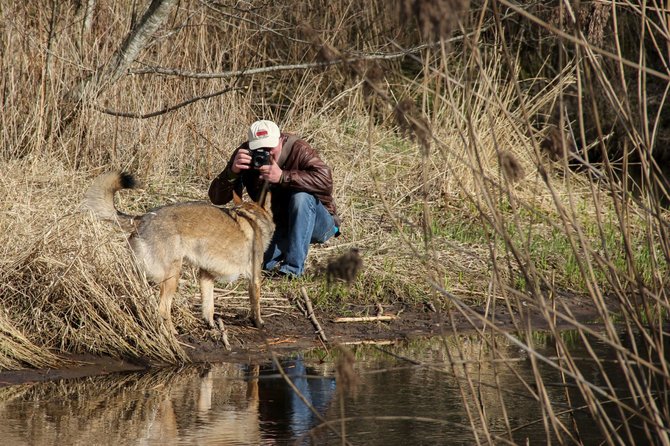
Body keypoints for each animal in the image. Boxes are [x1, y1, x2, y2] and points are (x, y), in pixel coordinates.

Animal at [82, 171, 274, 332]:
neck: (252, 217)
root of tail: (142, 218)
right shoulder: (255, 278)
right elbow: (255, 305)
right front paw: (259, 323)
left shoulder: (206, 276)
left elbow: (209, 306)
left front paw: (211, 325)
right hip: (172, 276)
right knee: (163, 310)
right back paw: (172, 334)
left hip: (142, 275)